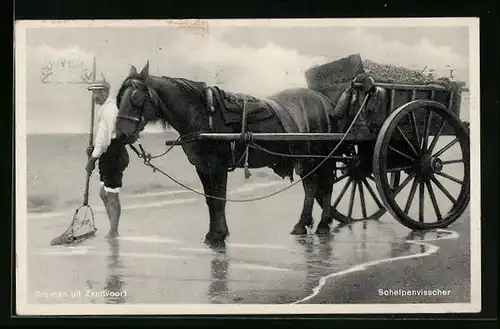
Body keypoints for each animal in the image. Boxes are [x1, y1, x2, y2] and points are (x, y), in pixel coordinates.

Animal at [114, 61, 346, 246]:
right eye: (119, 98)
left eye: (135, 98)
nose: (120, 134)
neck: (203, 115)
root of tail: (326, 102)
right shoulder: (202, 167)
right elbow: (210, 200)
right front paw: (212, 234)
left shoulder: (217, 166)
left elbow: (219, 199)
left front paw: (219, 235)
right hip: (307, 158)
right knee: (315, 187)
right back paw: (308, 224)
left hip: (319, 156)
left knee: (322, 186)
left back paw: (320, 224)